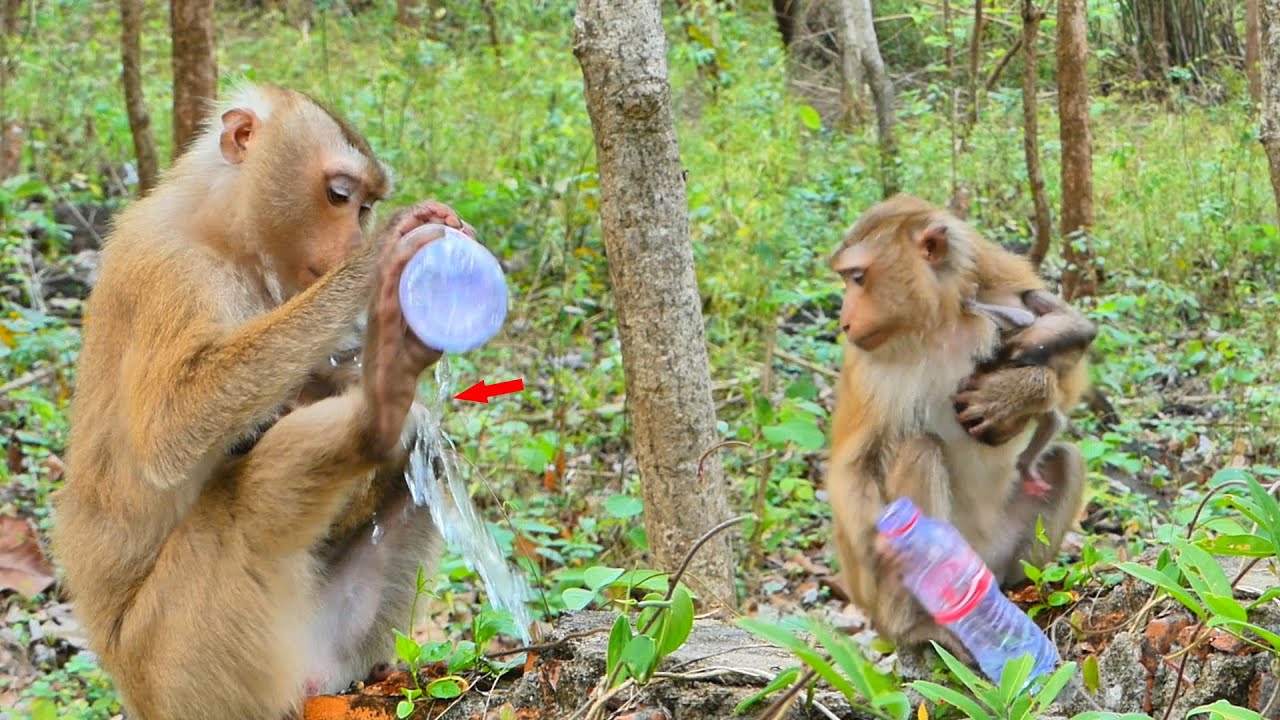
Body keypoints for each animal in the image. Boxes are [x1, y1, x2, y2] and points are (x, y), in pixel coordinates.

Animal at [50, 83, 480, 720]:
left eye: (365, 205)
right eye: (340, 195)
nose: (356, 240)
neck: (224, 237)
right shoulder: (170, 272)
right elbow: (171, 430)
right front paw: (377, 262)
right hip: (179, 662)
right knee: (246, 505)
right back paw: (375, 417)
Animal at [825, 194, 1089, 663]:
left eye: (857, 278)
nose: (844, 320)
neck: (937, 322)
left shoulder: (1006, 290)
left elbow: (1068, 379)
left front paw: (1016, 394)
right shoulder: (865, 363)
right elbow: (853, 464)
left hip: (1003, 547)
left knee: (1067, 459)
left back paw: (1025, 590)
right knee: (920, 449)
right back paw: (916, 624)